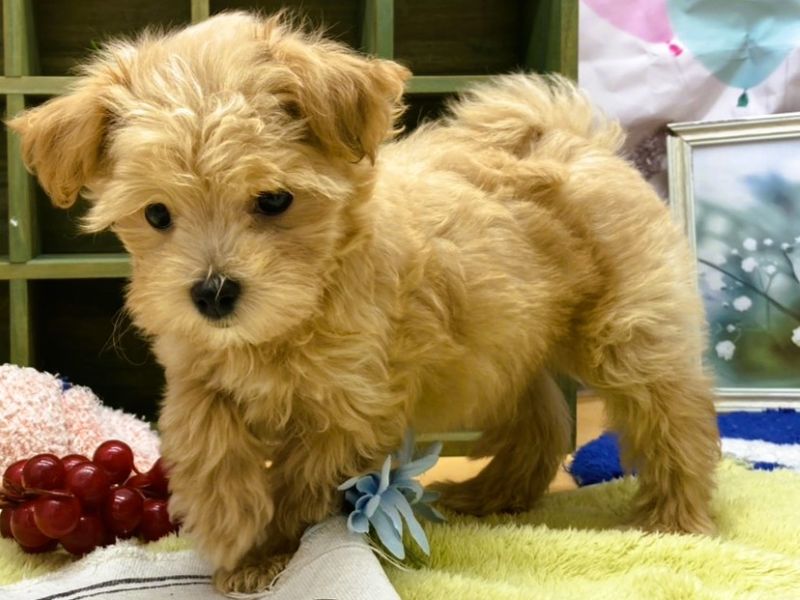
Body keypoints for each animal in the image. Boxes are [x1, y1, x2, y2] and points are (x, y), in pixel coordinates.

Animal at [8, 11, 720, 593]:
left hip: (625, 327)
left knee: (674, 415)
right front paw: (229, 526)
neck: (291, 316)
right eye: (157, 215)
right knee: (540, 420)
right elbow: (209, 441)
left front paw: (269, 551)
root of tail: (570, 136)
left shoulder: (349, 405)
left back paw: (676, 520)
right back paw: (489, 495)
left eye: (274, 200)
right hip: (503, 344)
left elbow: (299, 479)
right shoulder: (197, 370)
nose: (212, 293)